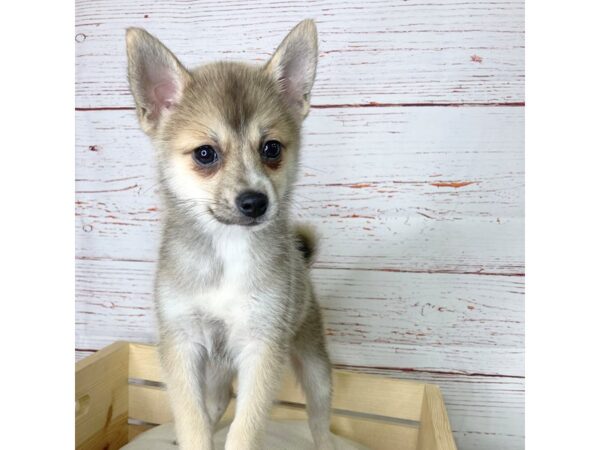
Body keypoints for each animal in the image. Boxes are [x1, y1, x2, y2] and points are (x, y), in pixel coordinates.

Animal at [126, 19, 336, 448]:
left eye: (272, 149)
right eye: (205, 154)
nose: (255, 201)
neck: (226, 250)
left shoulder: (262, 349)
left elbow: (245, 428)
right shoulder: (183, 344)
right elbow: (191, 420)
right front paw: (191, 436)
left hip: (313, 364)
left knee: (320, 417)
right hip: (217, 366)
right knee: (216, 402)